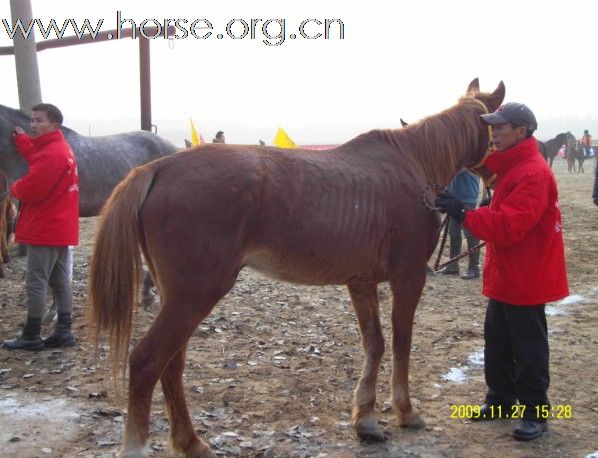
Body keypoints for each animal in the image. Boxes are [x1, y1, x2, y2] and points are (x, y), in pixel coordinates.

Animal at [88, 79, 506, 458]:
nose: (496, 183)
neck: (412, 162)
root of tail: (158, 168)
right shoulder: (409, 277)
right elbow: (401, 342)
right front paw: (405, 411)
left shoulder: (362, 282)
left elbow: (375, 343)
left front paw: (366, 420)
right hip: (193, 296)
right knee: (147, 363)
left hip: (179, 298)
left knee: (171, 366)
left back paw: (191, 442)